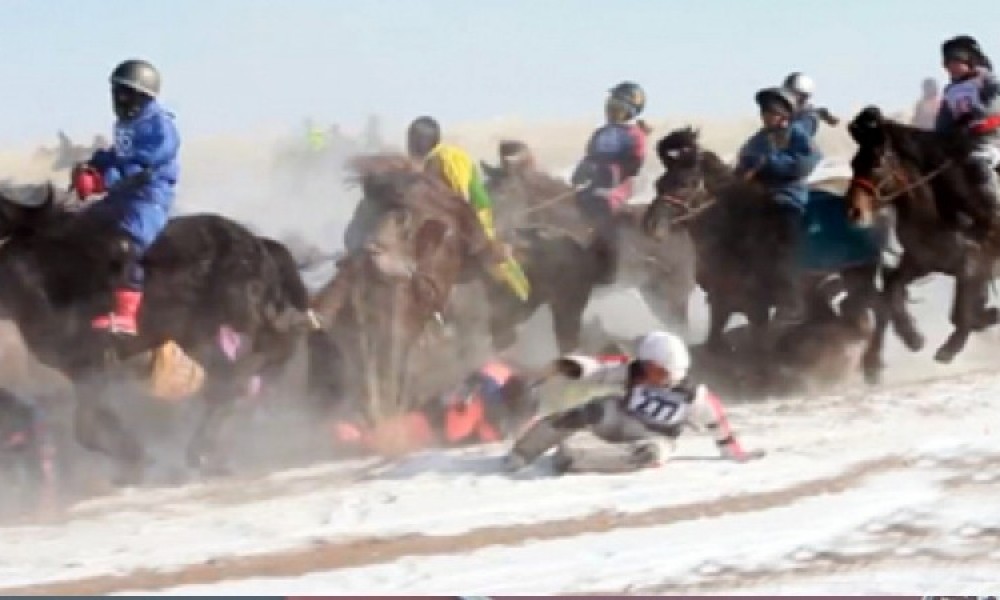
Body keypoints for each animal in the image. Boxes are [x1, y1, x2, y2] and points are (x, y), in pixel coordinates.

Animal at [844, 105, 1000, 368]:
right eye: (854, 163)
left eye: (875, 164)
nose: (854, 212)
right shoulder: (921, 261)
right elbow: (892, 288)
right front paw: (911, 338)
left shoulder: (973, 264)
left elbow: (960, 313)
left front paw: (949, 349)